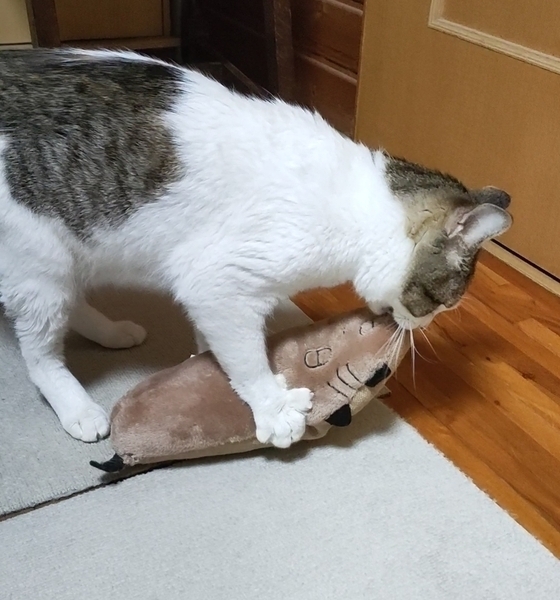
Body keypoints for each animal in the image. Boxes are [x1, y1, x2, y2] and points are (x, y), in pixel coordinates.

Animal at [0, 49, 512, 448]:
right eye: (439, 304)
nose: (418, 326)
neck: (359, 209)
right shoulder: (217, 283)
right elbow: (245, 357)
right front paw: (272, 406)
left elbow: (215, 345)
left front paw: (203, 366)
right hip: (40, 267)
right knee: (40, 357)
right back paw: (79, 409)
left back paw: (111, 332)